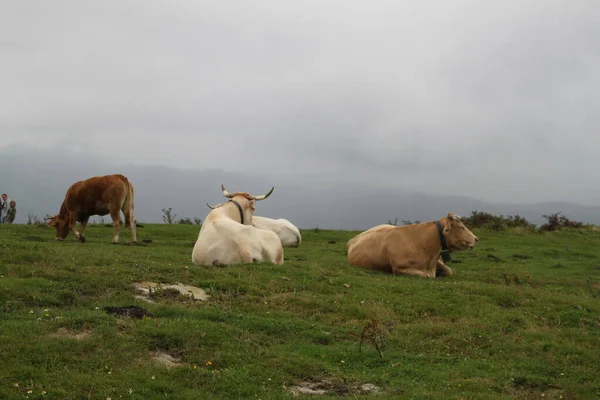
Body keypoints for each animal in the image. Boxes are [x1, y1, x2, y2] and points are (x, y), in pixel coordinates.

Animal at [346, 212, 478, 278]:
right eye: (460, 227)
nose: (476, 239)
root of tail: (352, 240)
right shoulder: (399, 268)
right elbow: (427, 276)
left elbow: (449, 271)